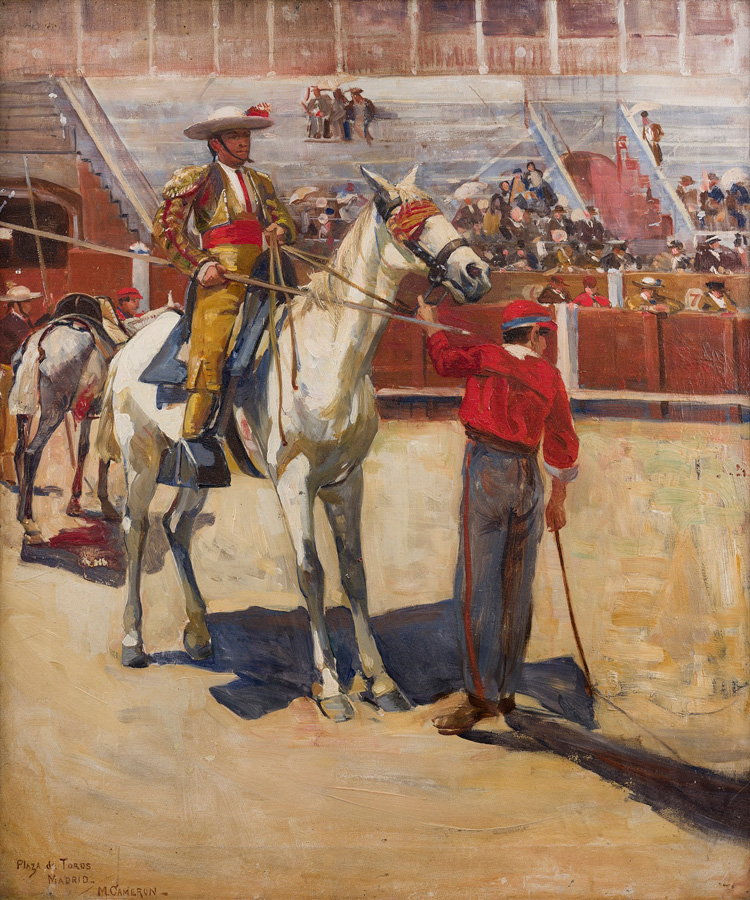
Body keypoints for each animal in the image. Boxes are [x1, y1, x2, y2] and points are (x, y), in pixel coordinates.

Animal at [97, 167, 490, 716]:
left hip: (200, 469)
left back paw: (198, 633)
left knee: (176, 526)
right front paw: (331, 687)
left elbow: (354, 573)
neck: (330, 354)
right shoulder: (294, 482)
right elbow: (311, 572)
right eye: (408, 220)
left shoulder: (347, 480)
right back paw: (133, 642)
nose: (477, 272)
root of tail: (131, 344)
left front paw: (381, 682)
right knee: (135, 530)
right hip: (142, 457)